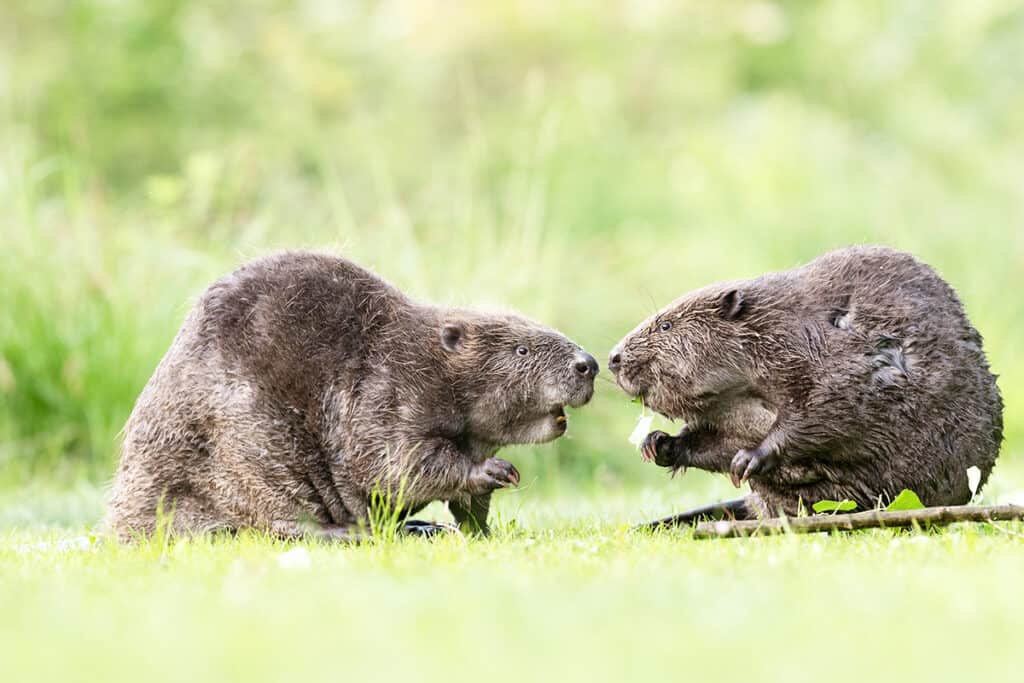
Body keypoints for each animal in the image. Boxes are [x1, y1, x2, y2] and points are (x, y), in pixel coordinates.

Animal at [107, 250, 598, 540]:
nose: (588, 364)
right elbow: (395, 464)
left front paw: (481, 529)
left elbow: (462, 501)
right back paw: (356, 531)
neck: (423, 356)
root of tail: (122, 521)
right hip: (253, 450)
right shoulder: (385, 395)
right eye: (522, 350)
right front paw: (498, 471)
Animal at [606, 245, 999, 524]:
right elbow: (714, 441)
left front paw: (749, 459)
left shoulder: (829, 361)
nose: (613, 358)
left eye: (666, 325)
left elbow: (824, 411)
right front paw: (657, 443)